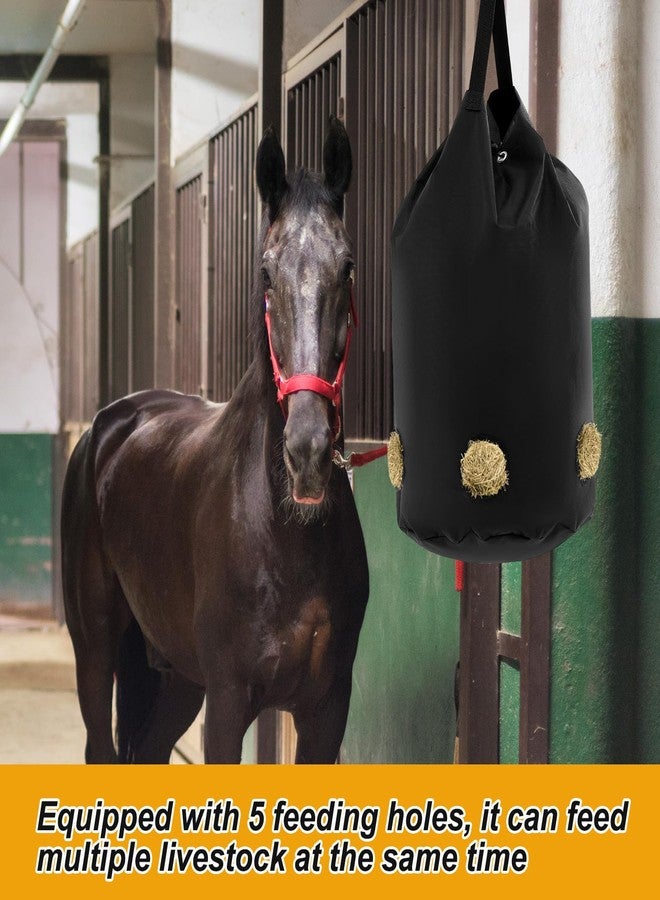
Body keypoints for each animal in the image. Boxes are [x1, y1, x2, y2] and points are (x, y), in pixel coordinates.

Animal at [61, 116, 369, 764]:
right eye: (266, 273)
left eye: (348, 267)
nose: (307, 452)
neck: (284, 533)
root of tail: (110, 426)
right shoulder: (228, 706)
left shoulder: (327, 711)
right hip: (96, 650)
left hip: (177, 676)